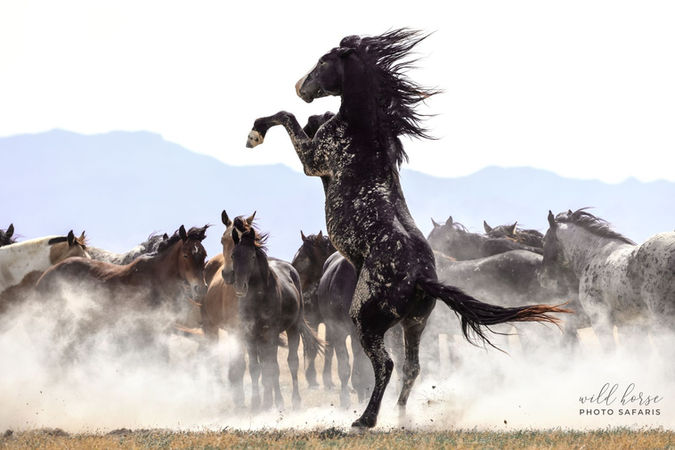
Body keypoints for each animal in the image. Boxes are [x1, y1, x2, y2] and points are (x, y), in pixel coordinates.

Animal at [225, 217, 322, 410]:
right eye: (233, 256)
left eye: (252, 256)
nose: (240, 287)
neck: (258, 298)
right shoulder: (250, 335)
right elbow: (256, 368)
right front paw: (257, 403)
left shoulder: (270, 333)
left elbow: (272, 368)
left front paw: (269, 402)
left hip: (292, 329)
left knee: (292, 362)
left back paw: (294, 400)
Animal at [290, 230, 336, 388]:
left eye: (302, 257)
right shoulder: (313, 321)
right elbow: (313, 348)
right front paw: (312, 378)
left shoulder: (330, 323)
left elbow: (329, 348)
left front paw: (328, 380)